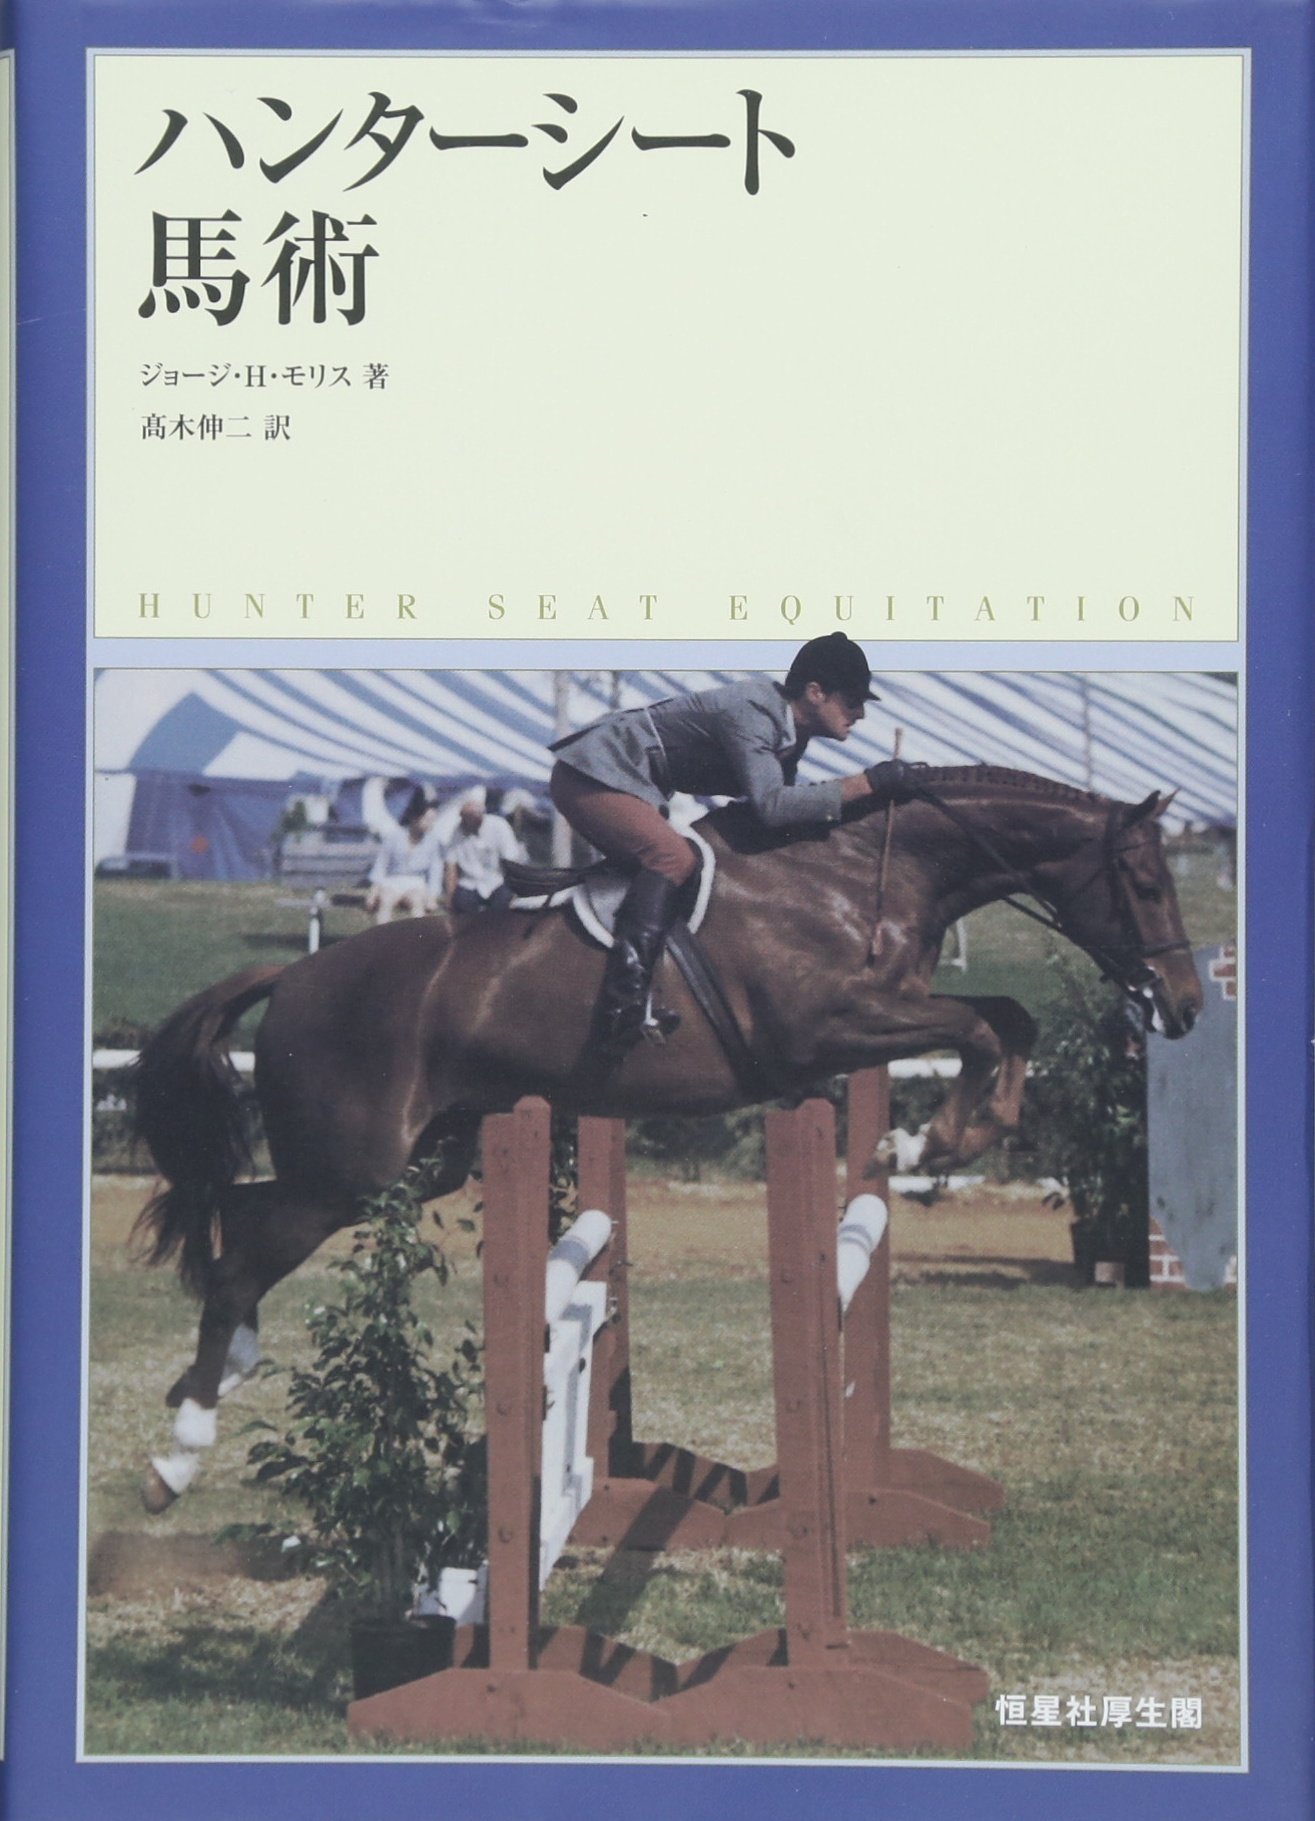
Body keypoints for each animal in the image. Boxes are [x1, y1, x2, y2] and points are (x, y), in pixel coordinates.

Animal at [132, 765, 1203, 1508]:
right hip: (350, 1169)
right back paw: (177, 1456)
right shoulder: (828, 1027)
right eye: (1147, 885)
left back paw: (226, 1372)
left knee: (240, 1219)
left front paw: (938, 1142)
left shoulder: (880, 1014)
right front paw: (917, 1147)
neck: (861, 873)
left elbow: (1007, 1021)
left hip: (414, 1161)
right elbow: (984, 1027)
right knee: (236, 1257)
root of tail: (293, 976)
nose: (1185, 1005)